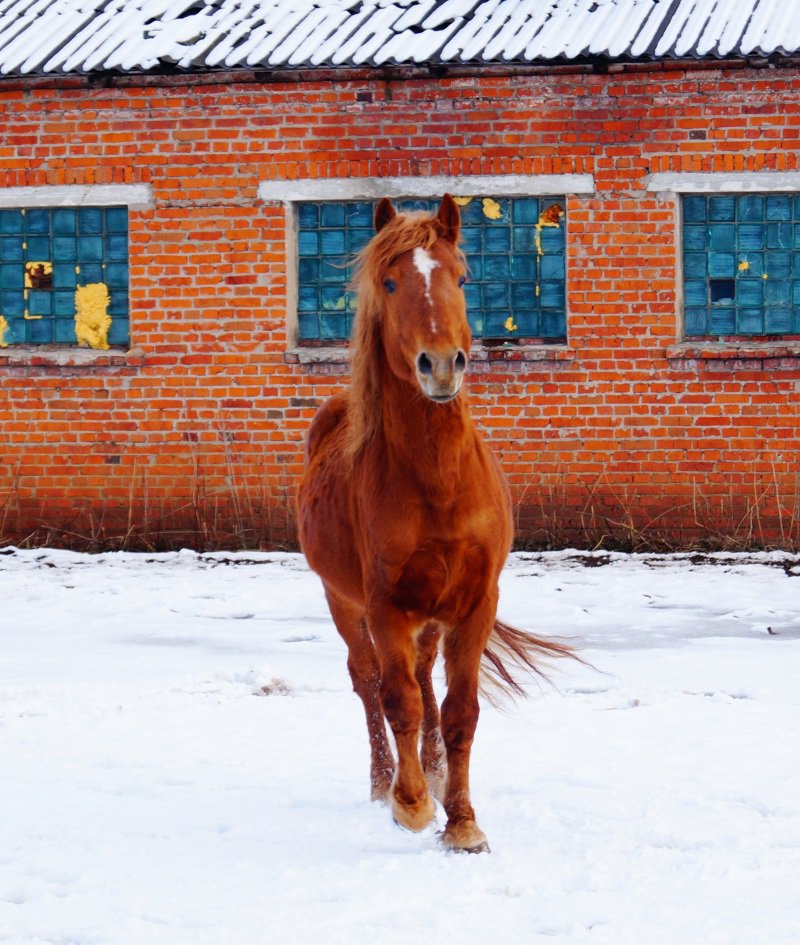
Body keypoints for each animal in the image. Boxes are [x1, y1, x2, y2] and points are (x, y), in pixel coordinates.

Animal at [296, 195, 572, 852]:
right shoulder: (385, 606)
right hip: (345, 603)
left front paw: (463, 819)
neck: (438, 484)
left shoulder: (475, 603)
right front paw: (415, 805)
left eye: (462, 278)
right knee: (369, 683)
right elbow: (397, 700)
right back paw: (386, 784)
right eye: (391, 282)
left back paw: (435, 772)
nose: (441, 365)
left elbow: (459, 712)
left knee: (425, 684)